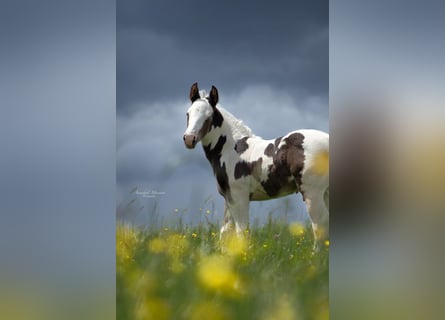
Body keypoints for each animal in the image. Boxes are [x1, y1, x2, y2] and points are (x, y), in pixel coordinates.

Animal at [182, 82, 328, 250]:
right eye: (188, 114)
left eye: (208, 117)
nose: (189, 139)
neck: (231, 149)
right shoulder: (228, 198)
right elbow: (225, 232)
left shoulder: (240, 197)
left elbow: (241, 231)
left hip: (312, 192)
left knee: (319, 225)